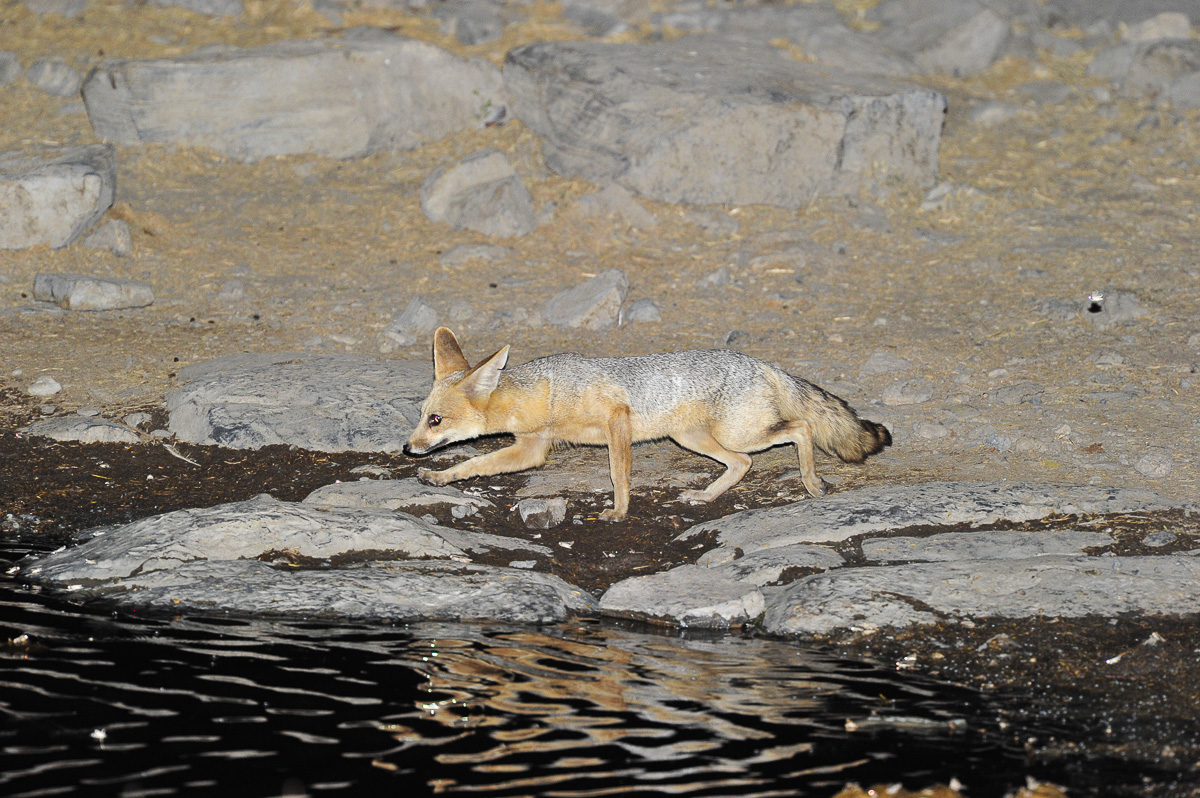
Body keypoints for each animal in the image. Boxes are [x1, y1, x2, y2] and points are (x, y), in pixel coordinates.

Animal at [403, 327, 892, 522]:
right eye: (422, 416)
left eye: (435, 419)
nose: (408, 448)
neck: (545, 392)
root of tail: (762, 363)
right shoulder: (531, 449)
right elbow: (472, 466)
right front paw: (439, 476)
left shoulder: (616, 419)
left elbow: (619, 473)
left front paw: (619, 512)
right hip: (694, 438)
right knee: (742, 464)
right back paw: (706, 495)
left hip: (741, 434)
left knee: (800, 429)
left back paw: (811, 483)